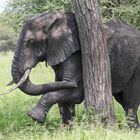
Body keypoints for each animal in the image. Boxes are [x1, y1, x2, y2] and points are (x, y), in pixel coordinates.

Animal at [6, 11, 140, 126]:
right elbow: (61, 93)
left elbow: (74, 92)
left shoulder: (77, 54)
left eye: (30, 42)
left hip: (137, 67)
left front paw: (34, 117)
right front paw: (67, 130)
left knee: (129, 101)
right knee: (123, 100)